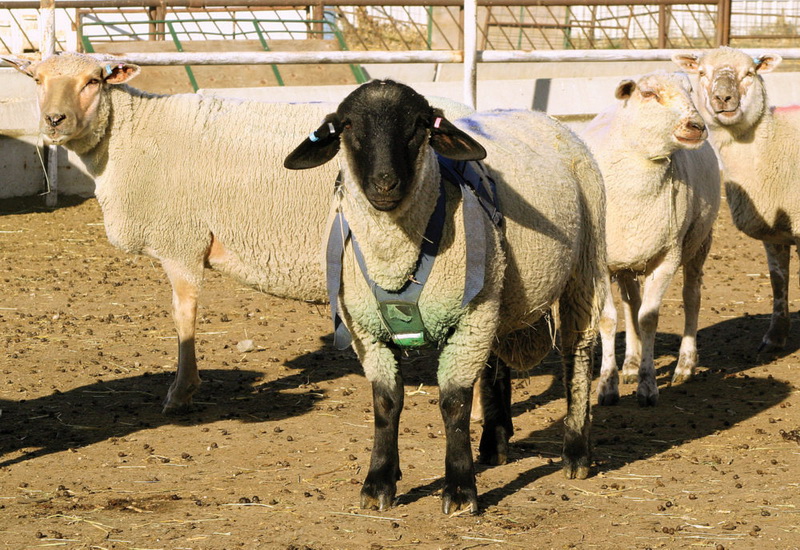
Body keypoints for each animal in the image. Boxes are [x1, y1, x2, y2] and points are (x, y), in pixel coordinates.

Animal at [3, 52, 476, 414]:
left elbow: (184, 315)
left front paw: (181, 392)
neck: (131, 137)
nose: (54, 120)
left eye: (92, 81)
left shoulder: (181, 241)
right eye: (38, 80)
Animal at [284, 80, 604, 516]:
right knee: (495, 362)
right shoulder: (366, 329)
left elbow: (454, 403)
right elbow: (386, 402)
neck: (395, 258)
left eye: (420, 125)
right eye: (348, 126)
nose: (385, 183)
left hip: (583, 266)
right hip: (500, 289)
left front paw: (459, 490)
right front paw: (378, 482)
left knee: (578, 353)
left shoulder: (471, 316)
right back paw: (494, 442)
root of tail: (541, 115)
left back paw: (576, 452)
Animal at [580, 72, 720, 410]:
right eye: (647, 93)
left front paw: (648, 387)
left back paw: (684, 365)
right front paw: (608, 386)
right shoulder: (601, 262)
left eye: (690, 90)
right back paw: (630, 363)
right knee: (631, 303)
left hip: (699, 242)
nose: (697, 126)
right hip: (628, 256)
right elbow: (609, 319)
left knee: (691, 297)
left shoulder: (667, 258)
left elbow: (648, 319)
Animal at [672, 46, 796, 350]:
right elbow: (778, 279)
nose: (723, 97)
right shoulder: (774, 230)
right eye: (702, 72)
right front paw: (775, 337)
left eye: (749, 72)